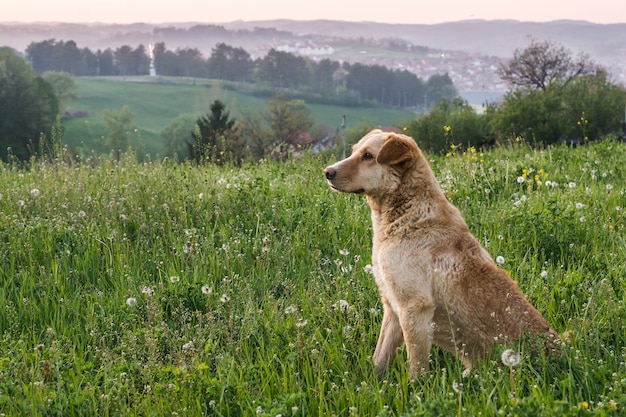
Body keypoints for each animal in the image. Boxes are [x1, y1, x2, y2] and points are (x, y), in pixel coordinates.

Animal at [322, 129, 556, 376]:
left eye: (368, 156)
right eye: (354, 151)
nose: (327, 172)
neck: (406, 215)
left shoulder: (414, 307)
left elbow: (417, 368)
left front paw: (415, 386)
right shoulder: (393, 308)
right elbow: (380, 359)